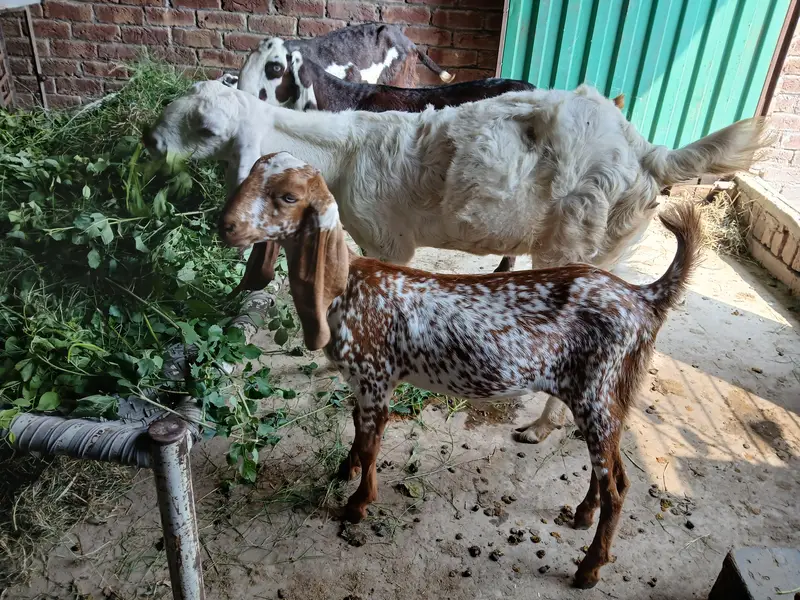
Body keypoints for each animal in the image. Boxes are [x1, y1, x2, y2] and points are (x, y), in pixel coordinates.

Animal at [218, 151, 704, 589]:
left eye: (287, 196)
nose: (227, 226)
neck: (347, 286)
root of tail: (643, 297)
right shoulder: (362, 382)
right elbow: (357, 429)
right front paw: (346, 469)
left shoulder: (376, 377)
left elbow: (373, 442)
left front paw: (356, 504)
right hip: (609, 396)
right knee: (611, 473)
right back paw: (583, 515)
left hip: (597, 394)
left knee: (618, 487)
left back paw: (588, 570)